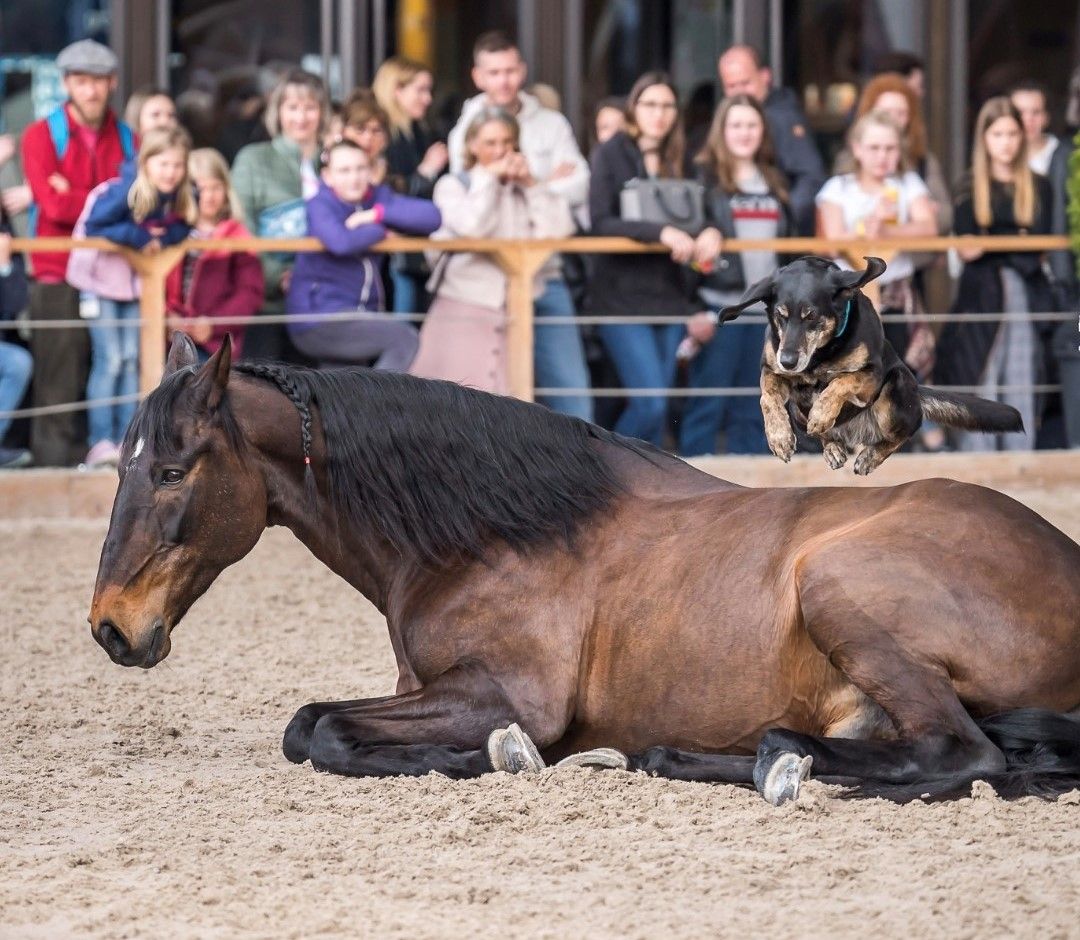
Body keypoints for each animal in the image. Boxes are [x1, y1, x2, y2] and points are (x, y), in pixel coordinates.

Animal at [90, 334, 1080, 803]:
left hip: (840, 591)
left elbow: (314, 728)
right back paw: (687, 757)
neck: (491, 532)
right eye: (123, 465)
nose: (110, 627)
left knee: (962, 755)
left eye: (173, 470)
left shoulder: (500, 691)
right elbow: (314, 725)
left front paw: (495, 757)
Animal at [717, 256, 1019, 475]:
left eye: (811, 316)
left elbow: (840, 381)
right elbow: (767, 398)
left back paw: (869, 456)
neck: (821, 354)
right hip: (798, 410)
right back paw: (833, 447)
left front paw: (823, 412)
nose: (789, 362)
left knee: (907, 429)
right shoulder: (772, 371)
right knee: (825, 434)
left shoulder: (870, 377)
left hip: (895, 389)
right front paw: (779, 437)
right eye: (780, 316)